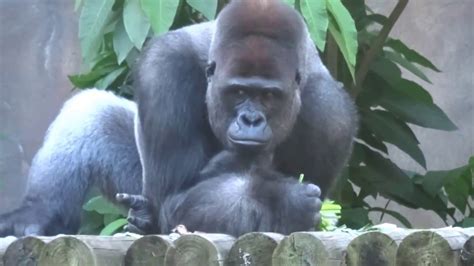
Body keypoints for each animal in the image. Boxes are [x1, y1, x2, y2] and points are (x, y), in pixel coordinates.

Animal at [0, 0, 356, 237]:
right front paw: (278, 201)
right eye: (239, 92)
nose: (251, 119)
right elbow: (174, 196)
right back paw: (37, 213)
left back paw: (144, 220)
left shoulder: (332, 117)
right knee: (91, 110)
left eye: (268, 97)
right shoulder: (165, 69)